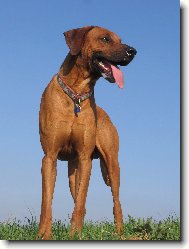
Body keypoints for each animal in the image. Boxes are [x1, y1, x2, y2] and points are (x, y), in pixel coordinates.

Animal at [38, 25, 136, 239]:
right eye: (105, 39)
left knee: (116, 202)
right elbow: (46, 202)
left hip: (112, 165)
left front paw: (74, 233)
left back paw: (119, 233)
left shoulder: (85, 158)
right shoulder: (49, 157)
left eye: (120, 40)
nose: (133, 51)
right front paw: (44, 235)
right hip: (72, 173)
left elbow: (81, 202)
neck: (76, 94)